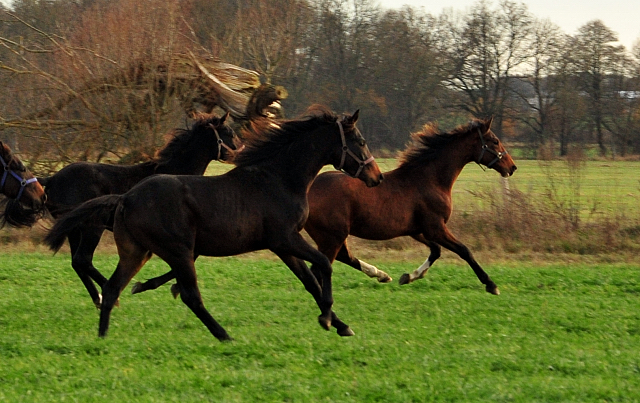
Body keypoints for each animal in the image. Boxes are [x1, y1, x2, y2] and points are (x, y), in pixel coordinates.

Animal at [40, 113, 241, 310]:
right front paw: (148, 286)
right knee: (83, 259)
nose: (240, 152)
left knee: (76, 262)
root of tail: (52, 179)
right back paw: (110, 295)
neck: (176, 174)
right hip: (91, 227)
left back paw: (98, 298)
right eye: (229, 132)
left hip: (74, 229)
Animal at [302, 118, 516, 296]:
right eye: (494, 141)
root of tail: (307, 191)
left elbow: (436, 251)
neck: (430, 180)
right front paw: (491, 285)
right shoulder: (436, 228)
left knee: (343, 257)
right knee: (324, 266)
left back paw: (381, 275)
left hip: (333, 236)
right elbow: (464, 250)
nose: (512, 167)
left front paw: (408, 277)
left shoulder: (418, 230)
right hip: (332, 236)